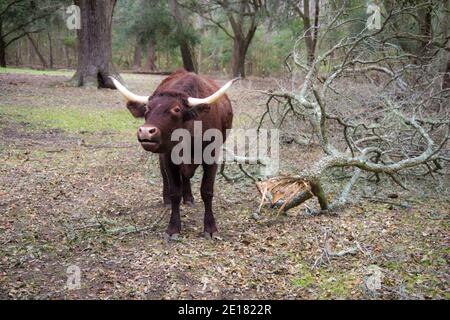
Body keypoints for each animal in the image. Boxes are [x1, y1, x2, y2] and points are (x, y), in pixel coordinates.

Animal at [110, 70, 237, 239]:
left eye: (176, 109)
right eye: (147, 108)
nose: (146, 131)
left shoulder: (212, 156)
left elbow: (207, 191)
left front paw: (210, 227)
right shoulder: (168, 156)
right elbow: (175, 192)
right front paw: (173, 228)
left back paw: (188, 198)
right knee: (165, 175)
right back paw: (169, 200)